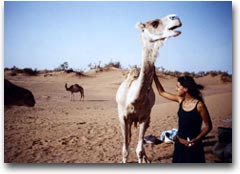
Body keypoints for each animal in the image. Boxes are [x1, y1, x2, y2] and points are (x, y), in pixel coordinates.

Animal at [115, 13, 181, 163]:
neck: (134, 99)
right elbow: (125, 150)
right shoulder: (123, 117)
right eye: (154, 23)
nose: (175, 17)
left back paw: (146, 158)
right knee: (128, 139)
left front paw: (143, 158)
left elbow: (139, 150)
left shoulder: (145, 117)